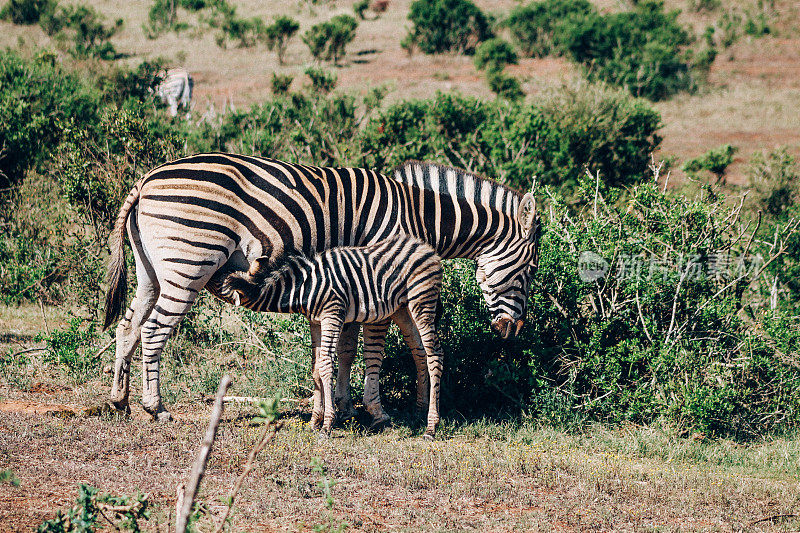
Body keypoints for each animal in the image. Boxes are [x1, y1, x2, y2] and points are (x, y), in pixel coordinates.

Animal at [223, 235, 444, 438]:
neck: (304, 287)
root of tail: (425, 247)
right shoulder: (315, 322)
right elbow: (316, 368)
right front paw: (314, 421)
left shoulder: (332, 314)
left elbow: (327, 366)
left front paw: (327, 424)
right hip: (402, 309)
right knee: (419, 352)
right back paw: (419, 411)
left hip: (422, 300)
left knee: (435, 354)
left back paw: (431, 427)